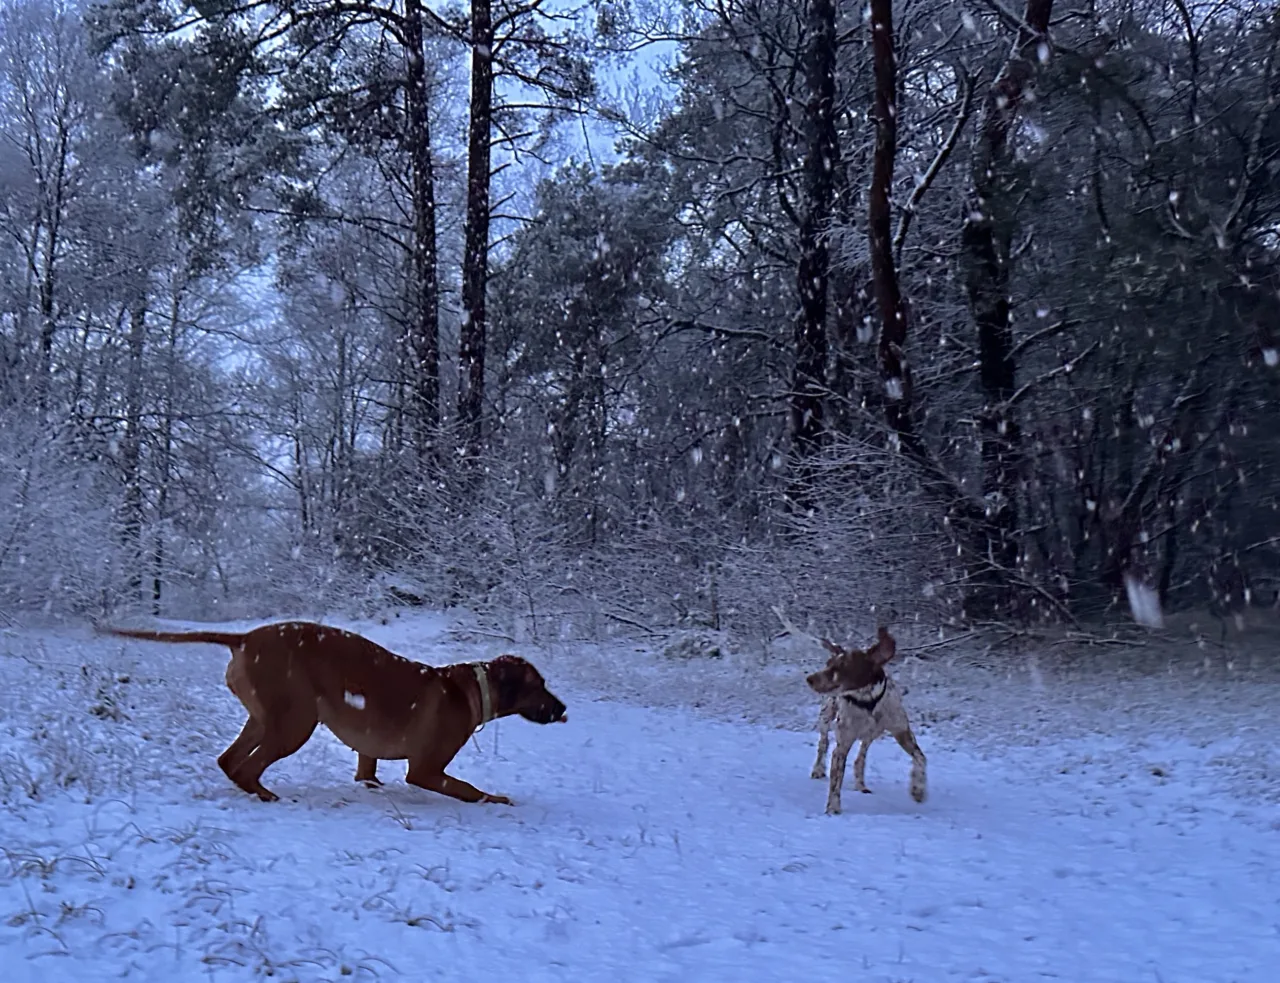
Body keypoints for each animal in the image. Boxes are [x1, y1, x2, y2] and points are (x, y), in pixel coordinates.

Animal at [102, 622, 573, 808]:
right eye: (539, 684)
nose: (564, 709)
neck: (469, 688)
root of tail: (245, 638)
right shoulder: (425, 770)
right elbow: (469, 789)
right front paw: (497, 799)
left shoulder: (369, 754)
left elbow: (367, 771)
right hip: (296, 723)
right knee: (246, 766)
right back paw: (268, 796)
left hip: (267, 717)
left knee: (229, 761)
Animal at [803, 629, 926, 814]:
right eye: (828, 663)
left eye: (841, 666)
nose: (810, 678)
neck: (868, 701)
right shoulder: (842, 745)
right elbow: (836, 779)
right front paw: (833, 807)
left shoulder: (902, 732)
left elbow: (921, 758)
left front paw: (918, 789)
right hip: (826, 715)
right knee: (823, 743)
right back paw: (818, 769)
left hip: (873, 733)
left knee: (860, 758)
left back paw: (861, 785)